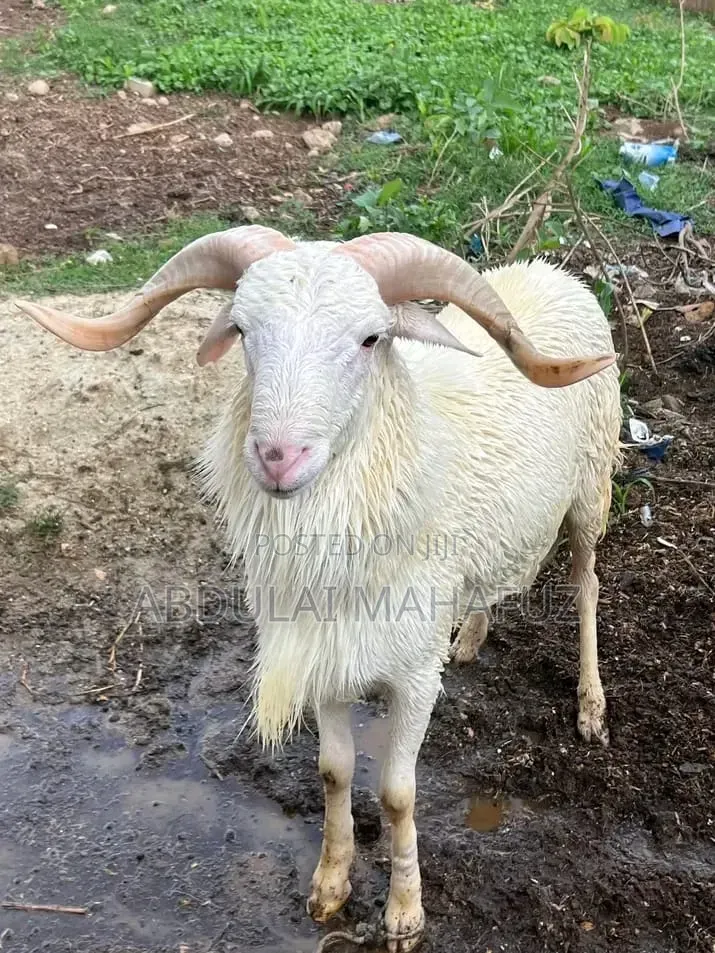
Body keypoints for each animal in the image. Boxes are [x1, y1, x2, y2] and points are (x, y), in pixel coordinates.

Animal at [14, 225, 621, 952]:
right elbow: (334, 772)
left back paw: (590, 705)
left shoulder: (415, 677)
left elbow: (397, 794)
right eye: (243, 331)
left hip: (591, 486)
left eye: (370, 338)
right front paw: (330, 885)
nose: (279, 457)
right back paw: (472, 635)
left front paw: (404, 912)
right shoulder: (325, 658)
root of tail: (552, 271)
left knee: (585, 585)